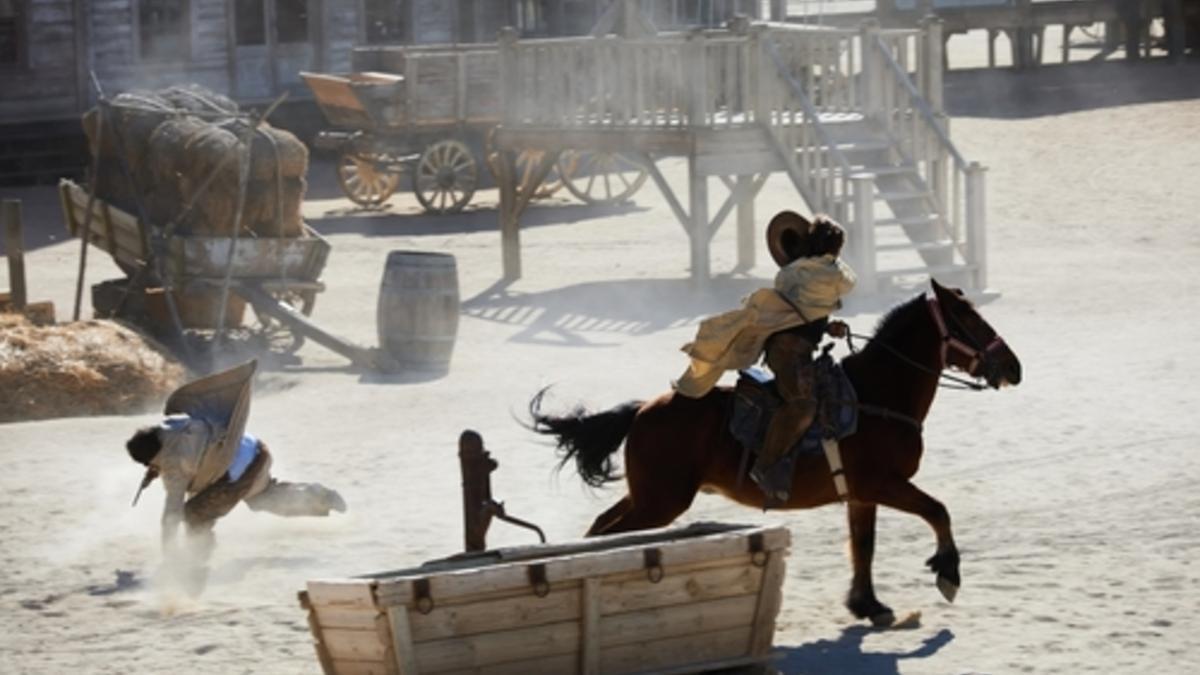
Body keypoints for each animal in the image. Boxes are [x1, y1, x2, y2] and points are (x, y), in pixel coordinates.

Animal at [532, 276, 1022, 624]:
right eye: (970, 321)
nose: (1013, 367)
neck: (874, 396)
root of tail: (641, 410)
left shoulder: (862, 494)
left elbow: (864, 545)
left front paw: (867, 604)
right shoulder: (885, 483)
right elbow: (938, 510)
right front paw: (948, 572)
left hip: (647, 496)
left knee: (602, 528)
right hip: (660, 502)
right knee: (612, 534)